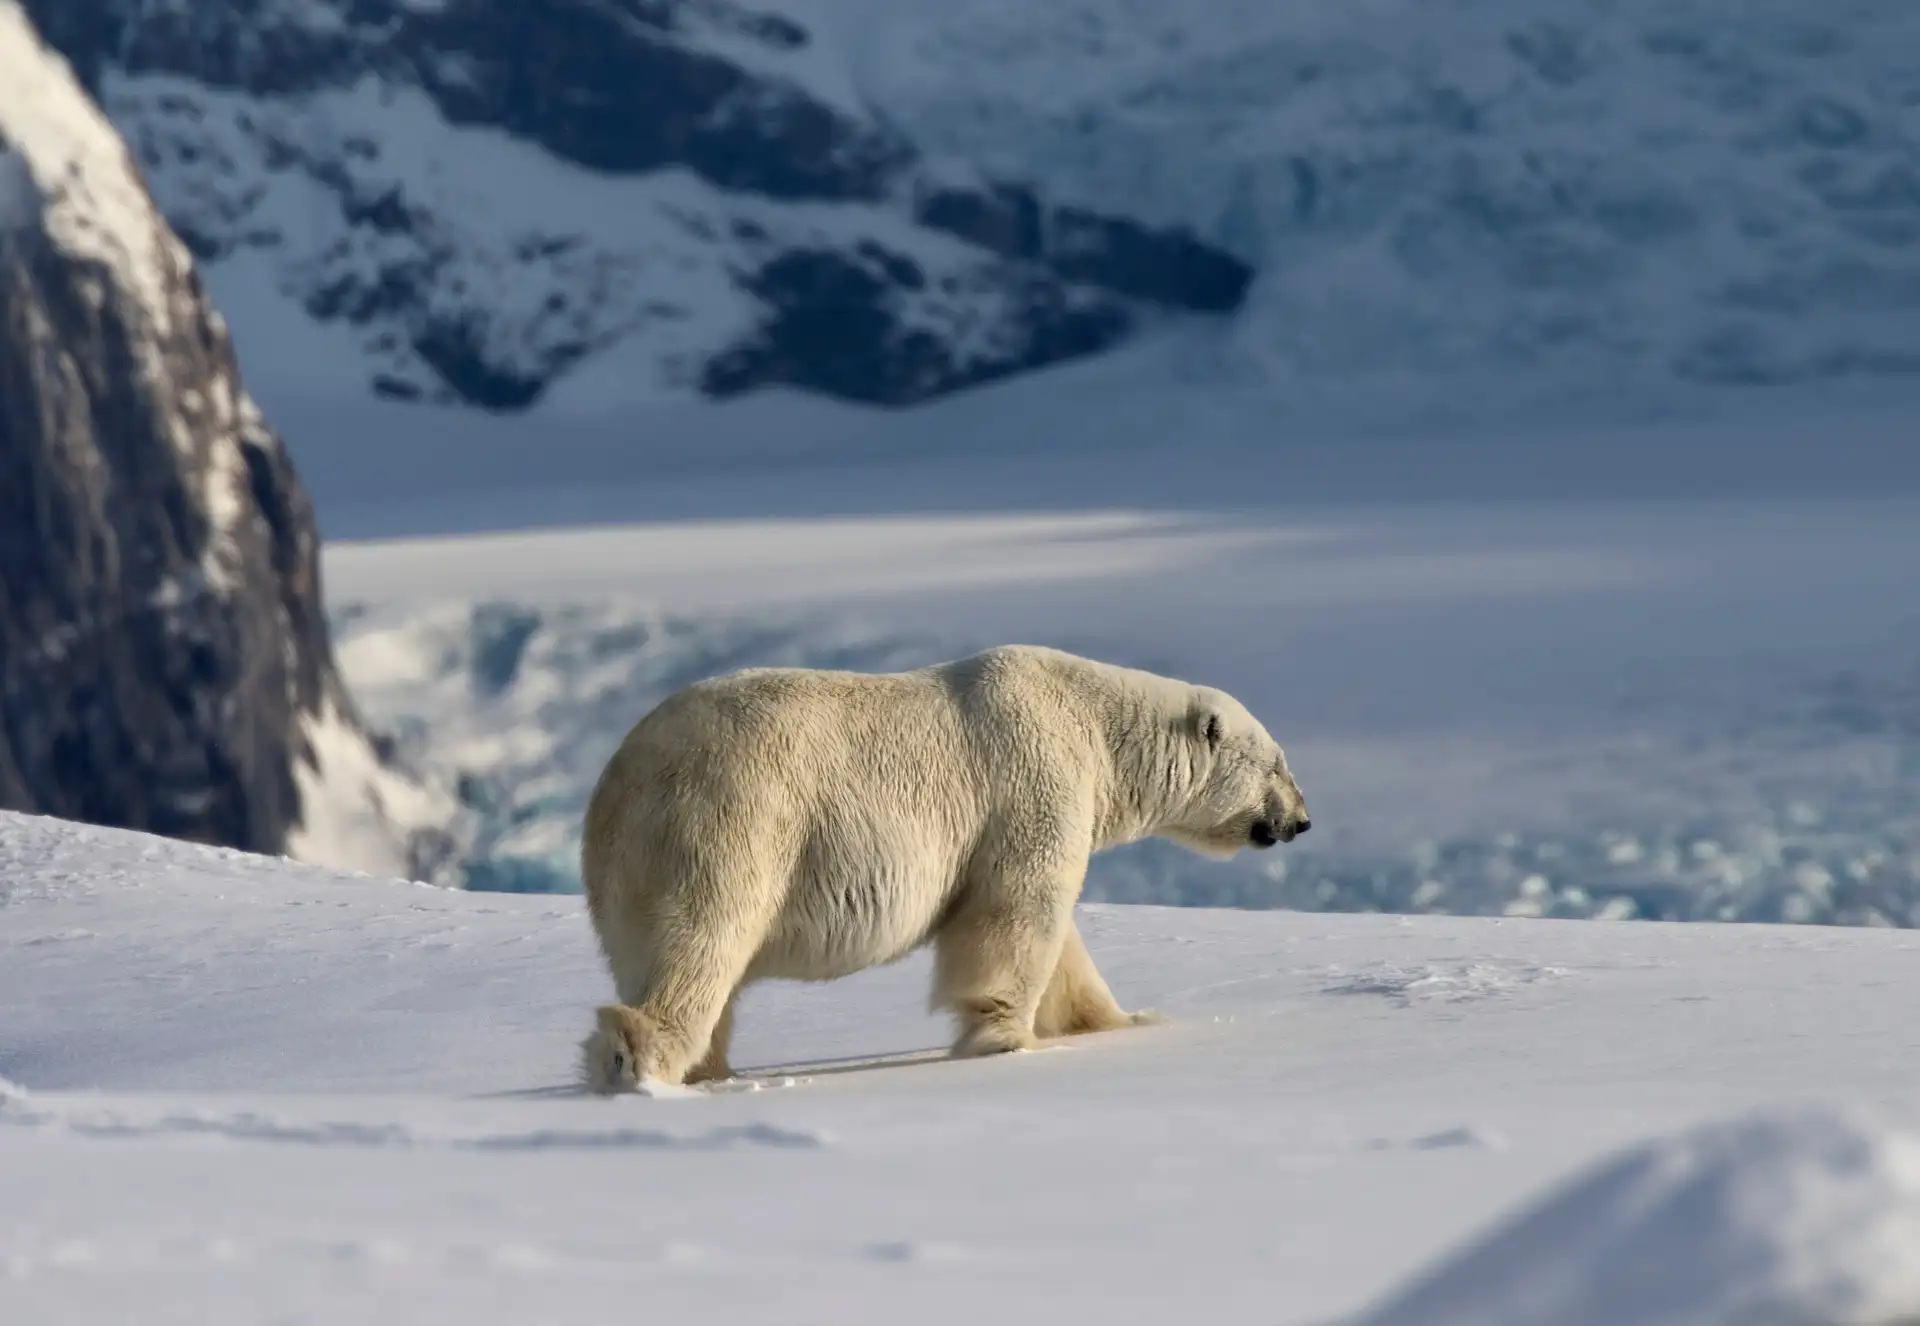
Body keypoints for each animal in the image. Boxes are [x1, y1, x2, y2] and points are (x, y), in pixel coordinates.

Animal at [577, 643, 1310, 1092]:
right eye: (1278, 765)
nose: (1302, 821)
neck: (1096, 728)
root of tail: (619, 780)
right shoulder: (1034, 778)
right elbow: (1018, 911)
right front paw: (1005, 1039)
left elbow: (1063, 947)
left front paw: (1120, 1020)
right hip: (738, 821)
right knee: (704, 940)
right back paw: (636, 1061)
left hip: (634, 866)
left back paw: (709, 1069)